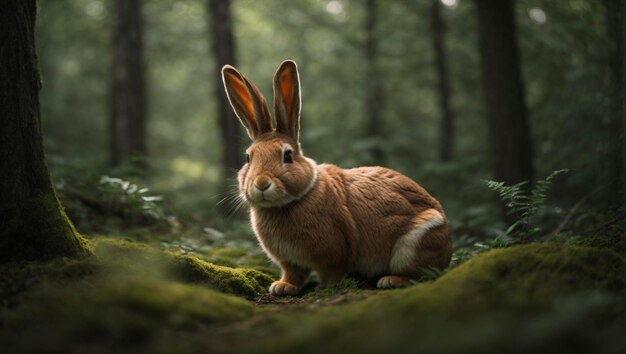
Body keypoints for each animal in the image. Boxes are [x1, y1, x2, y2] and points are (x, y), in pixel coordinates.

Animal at [219, 58, 448, 296]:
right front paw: (282, 287)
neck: (292, 201)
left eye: (287, 155)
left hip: (417, 242)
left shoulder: (333, 252)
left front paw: (324, 288)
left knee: (421, 274)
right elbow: (293, 274)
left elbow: (332, 272)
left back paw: (391, 280)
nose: (262, 183)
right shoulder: (290, 262)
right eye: (248, 157)